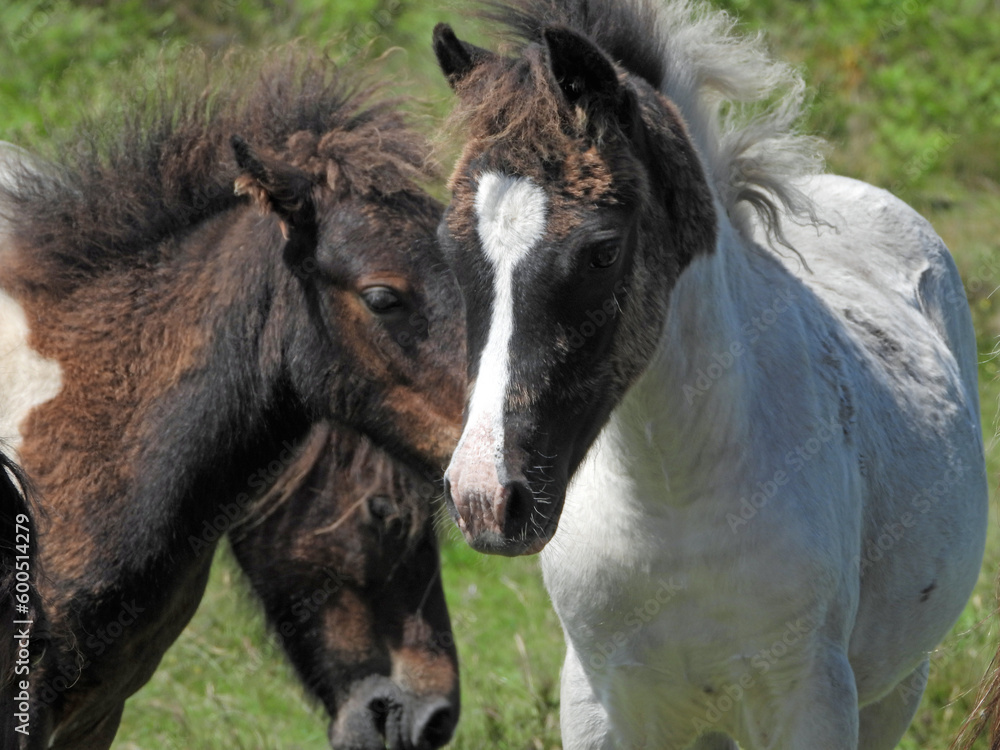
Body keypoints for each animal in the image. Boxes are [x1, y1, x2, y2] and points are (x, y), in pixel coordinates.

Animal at [432, 0, 987, 747]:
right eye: (448, 243)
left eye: (601, 251)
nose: (485, 499)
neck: (670, 498)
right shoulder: (599, 703)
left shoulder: (810, 699)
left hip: (895, 690)